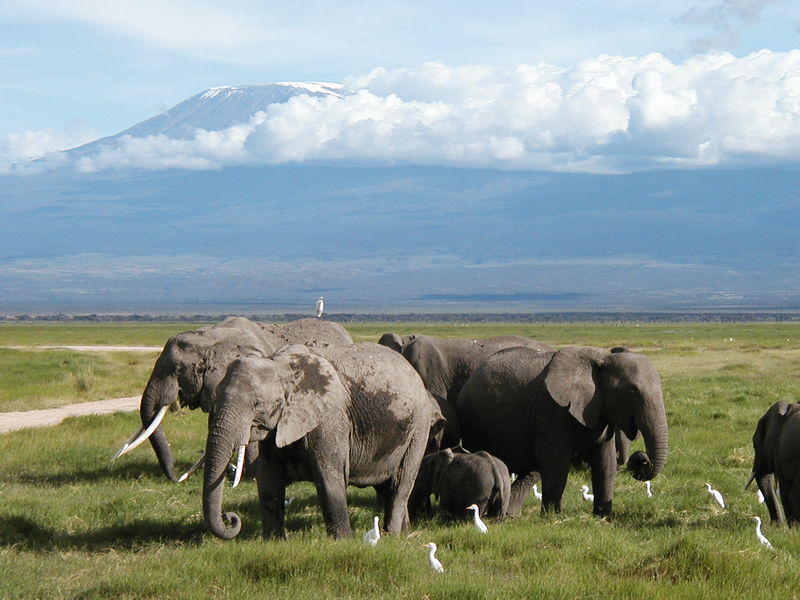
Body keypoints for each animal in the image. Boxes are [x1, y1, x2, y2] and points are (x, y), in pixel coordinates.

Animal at [202, 342, 444, 540]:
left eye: (257, 404)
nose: (230, 517)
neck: (280, 365)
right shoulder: (275, 430)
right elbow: (269, 482)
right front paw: (273, 541)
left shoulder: (330, 420)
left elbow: (329, 479)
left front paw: (344, 541)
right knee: (386, 488)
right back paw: (404, 533)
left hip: (418, 429)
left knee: (399, 486)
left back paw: (391, 535)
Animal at [457, 345, 668, 517]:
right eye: (631, 392)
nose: (641, 459)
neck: (603, 358)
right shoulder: (551, 410)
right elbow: (556, 463)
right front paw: (552, 518)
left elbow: (605, 461)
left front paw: (603, 517)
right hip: (473, 420)